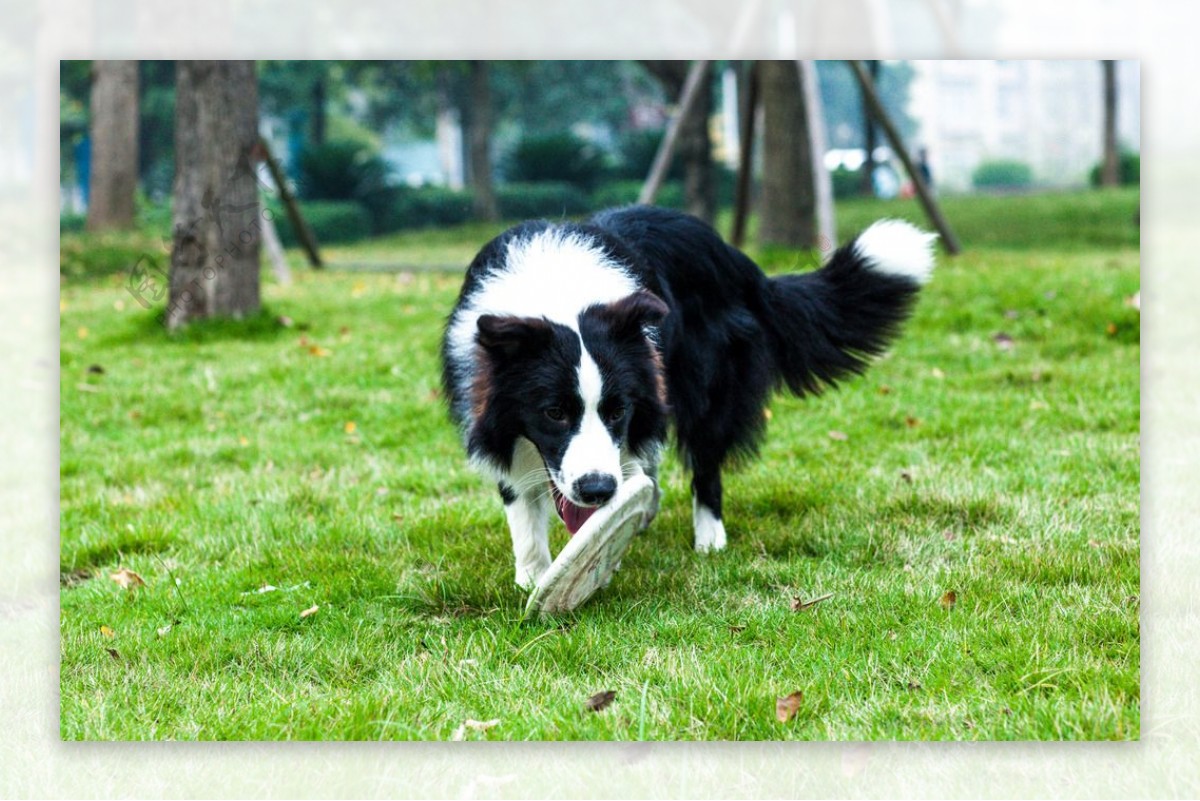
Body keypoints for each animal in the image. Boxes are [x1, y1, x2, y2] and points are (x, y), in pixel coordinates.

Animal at [444, 203, 936, 585]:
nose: (598, 490)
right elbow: (521, 503)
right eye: (554, 413)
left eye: (616, 411)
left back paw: (709, 538)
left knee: (706, 457)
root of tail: (739, 262)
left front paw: (604, 546)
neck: (558, 292)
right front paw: (533, 578)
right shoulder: (493, 412)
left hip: (710, 377)